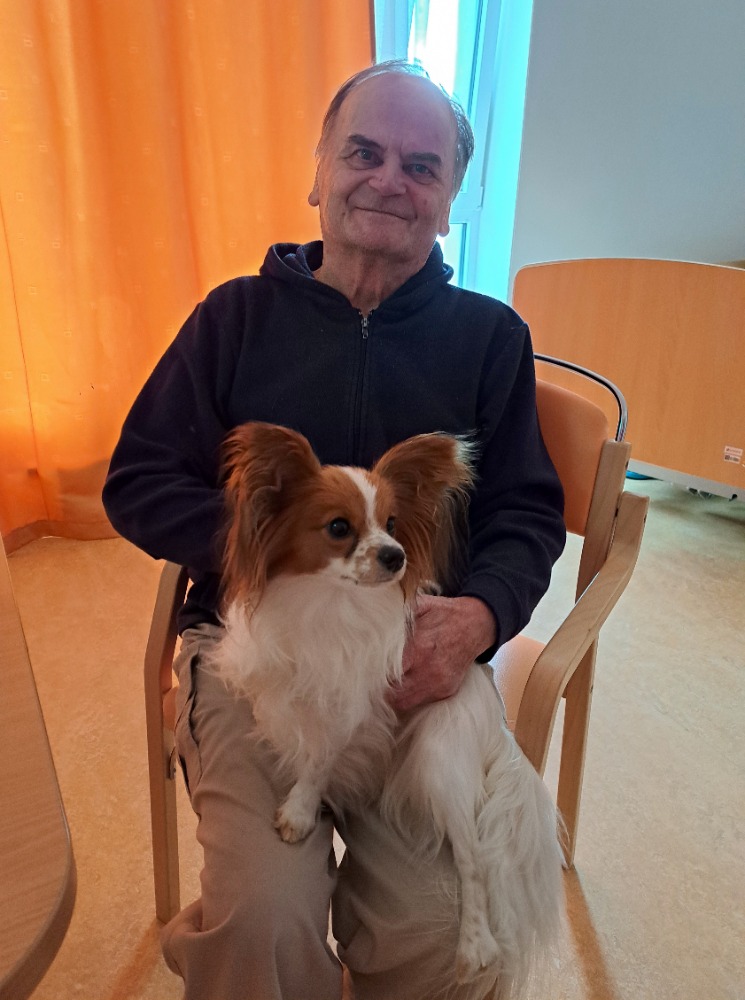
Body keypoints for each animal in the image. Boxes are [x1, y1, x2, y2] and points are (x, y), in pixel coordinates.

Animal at [213, 421, 564, 998]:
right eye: (339, 527)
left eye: (394, 524)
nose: (396, 555)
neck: (326, 606)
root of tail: (498, 724)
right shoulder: (277, 683)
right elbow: (282, 723)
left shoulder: (347, 712)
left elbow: (317, 764)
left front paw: (299, 811)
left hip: (438, 760)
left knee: (472, 861)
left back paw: (475, 947)